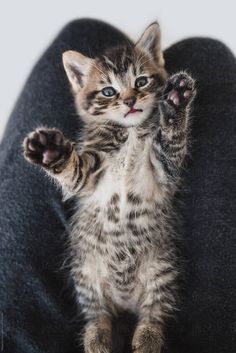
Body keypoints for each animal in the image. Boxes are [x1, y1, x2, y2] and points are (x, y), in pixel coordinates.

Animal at [22, 22, 195, 352]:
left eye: (141, 81)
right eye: (108, 91)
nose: (129, 101)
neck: (129, 132)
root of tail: (124, 301)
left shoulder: (165, 169)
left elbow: (173, 139)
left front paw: (175, 103)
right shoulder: (88, 176)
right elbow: (73, 170)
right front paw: (52, 151)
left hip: (161, 270)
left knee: (154, 313)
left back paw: (147, 339)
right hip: (87, 275)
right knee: (98, 314)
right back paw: (97, 339)